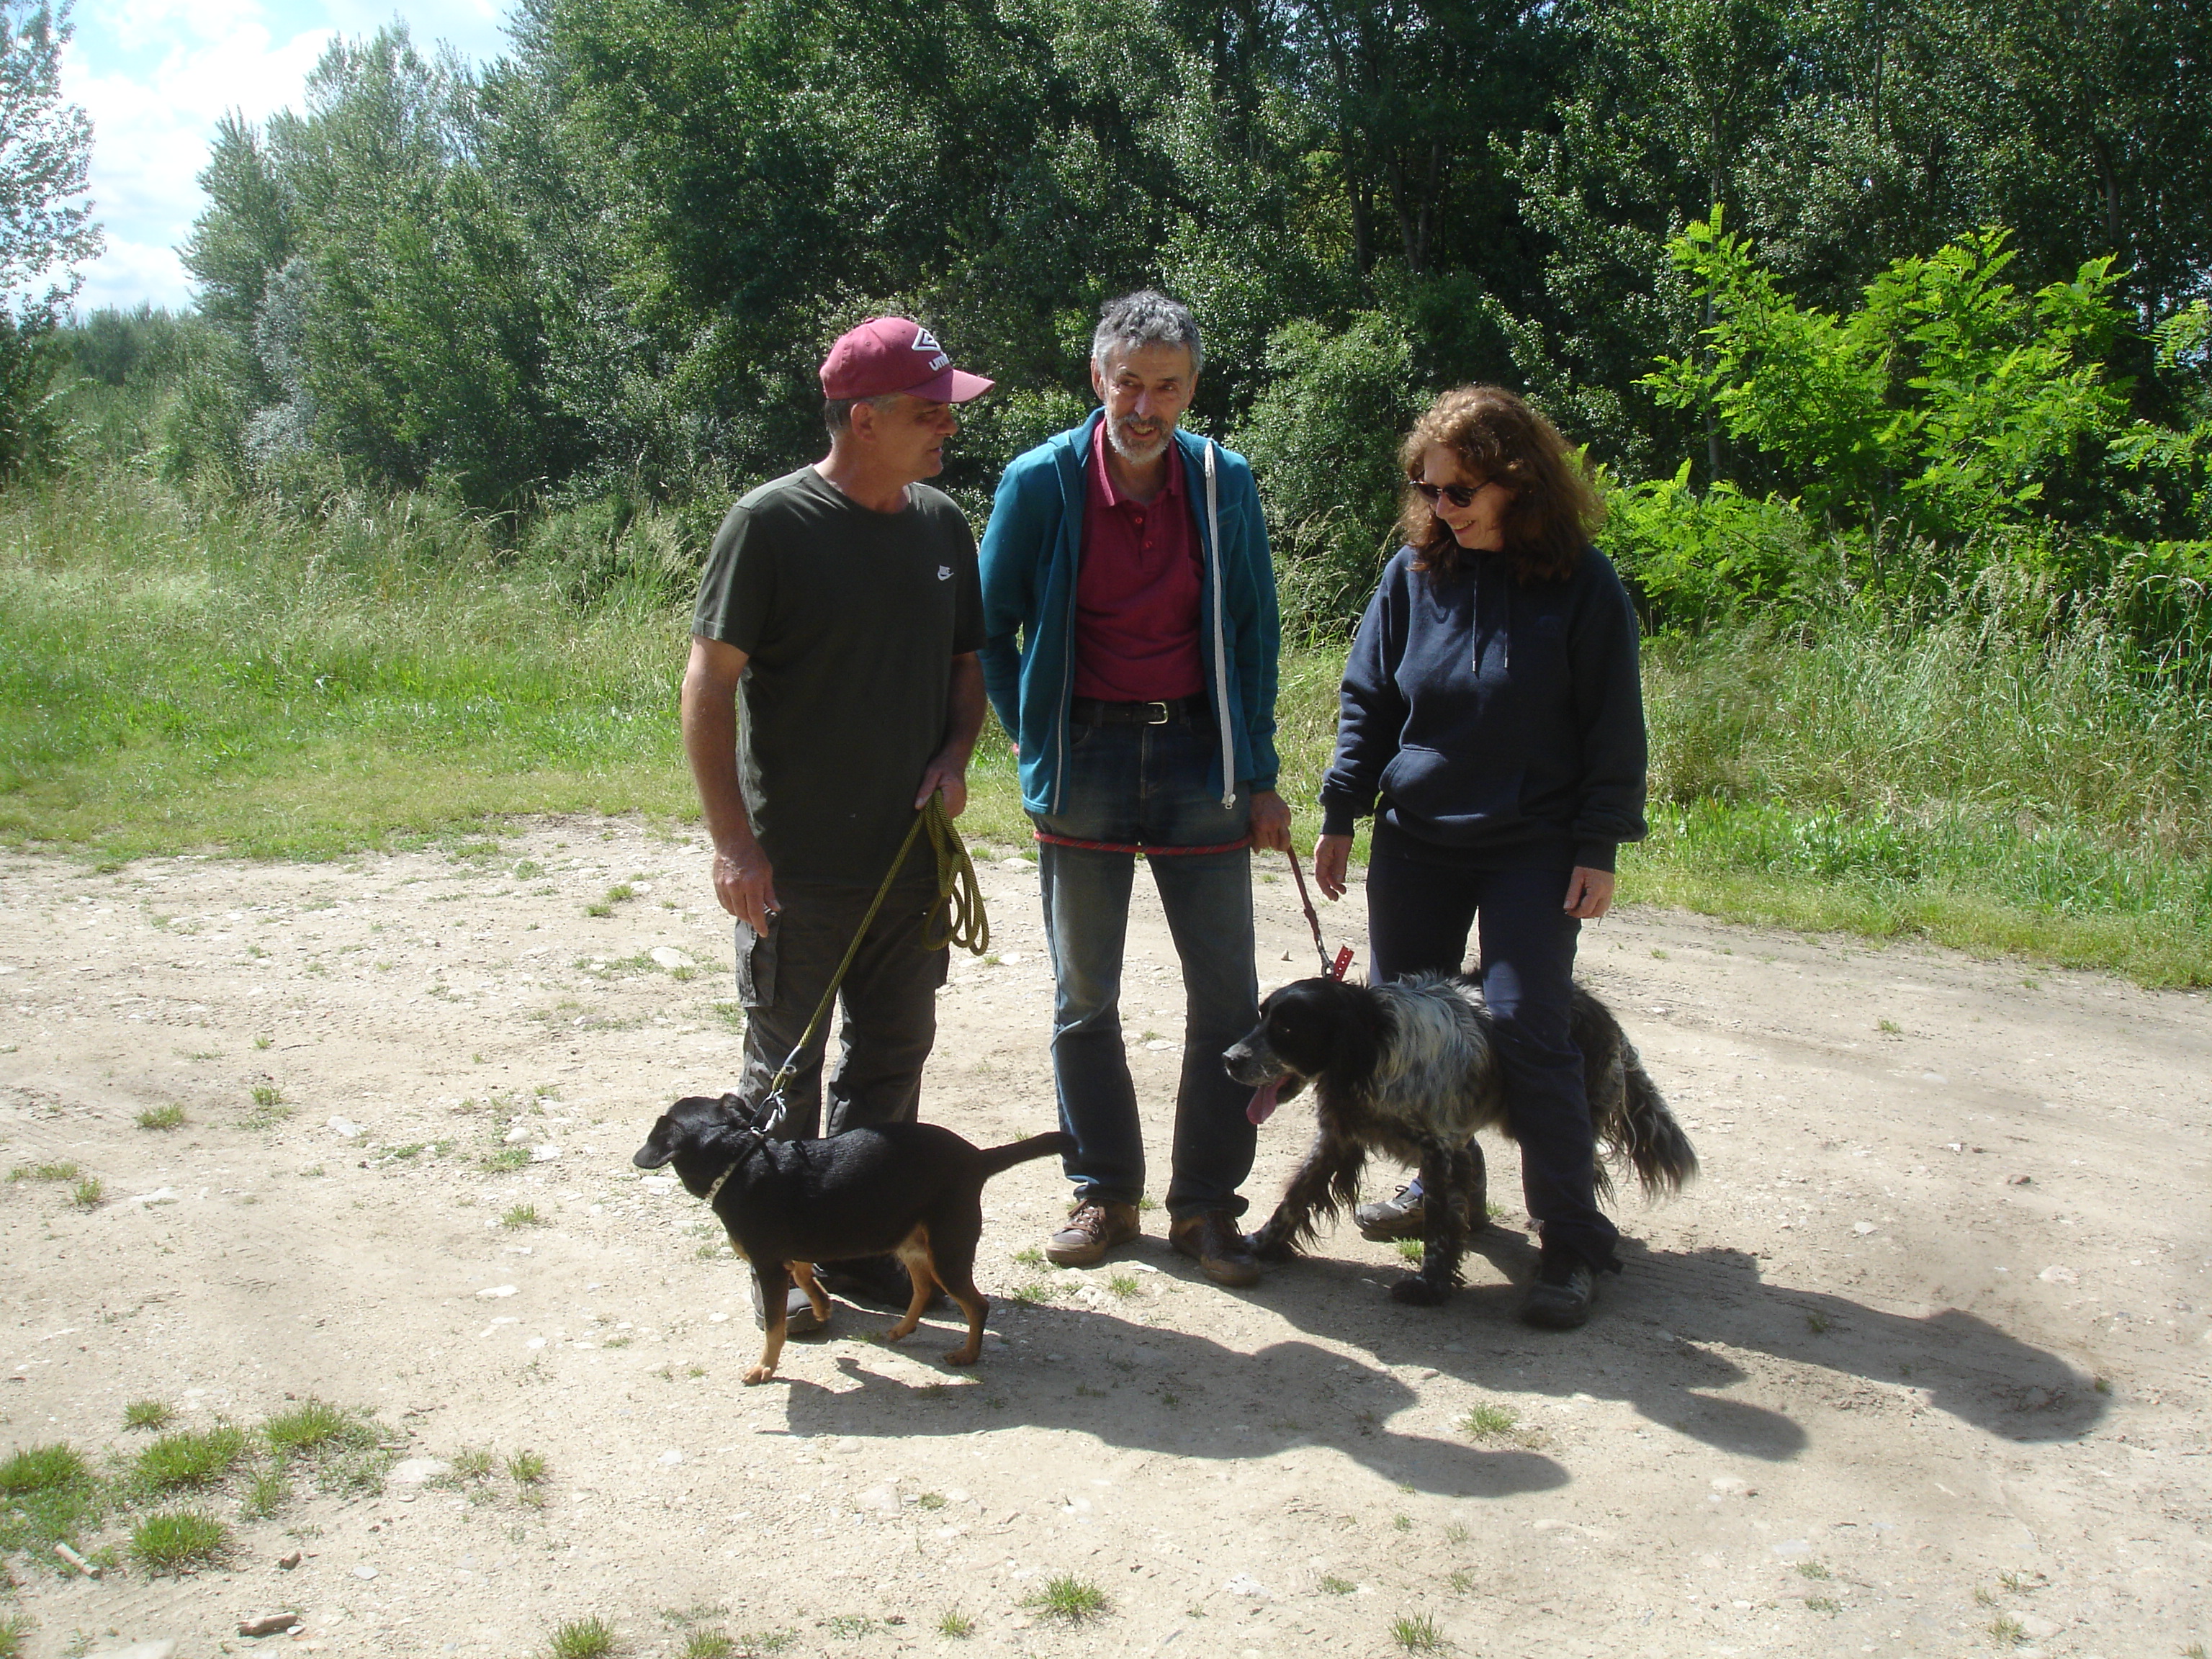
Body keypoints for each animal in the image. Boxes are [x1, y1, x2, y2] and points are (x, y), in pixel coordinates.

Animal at [633, 1093, 1072, 1383]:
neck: (739, 1161)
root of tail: (977, 1158)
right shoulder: (795, 1250)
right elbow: (806, 1275)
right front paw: (822, 1307)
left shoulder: (769, 1265)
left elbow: (775, 1328)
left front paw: (764, 1368)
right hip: (910, 1242)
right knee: (923, 1288)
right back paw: (902, 1330)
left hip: (947, 1250)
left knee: (976, 1305)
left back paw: (968, 1354)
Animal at [1223, 974, 1696, 1305]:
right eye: (1262, 1017)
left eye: (1287, 1030)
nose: (1229, 1059)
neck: (1377, 1047)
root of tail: (1600, 1010)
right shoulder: (1338, 1138)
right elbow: (1295, 1198)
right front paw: (1261, 1243)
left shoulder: (1439, 1150)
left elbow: (1438, 1225)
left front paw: (1430, 1286)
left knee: (1583, 1164)